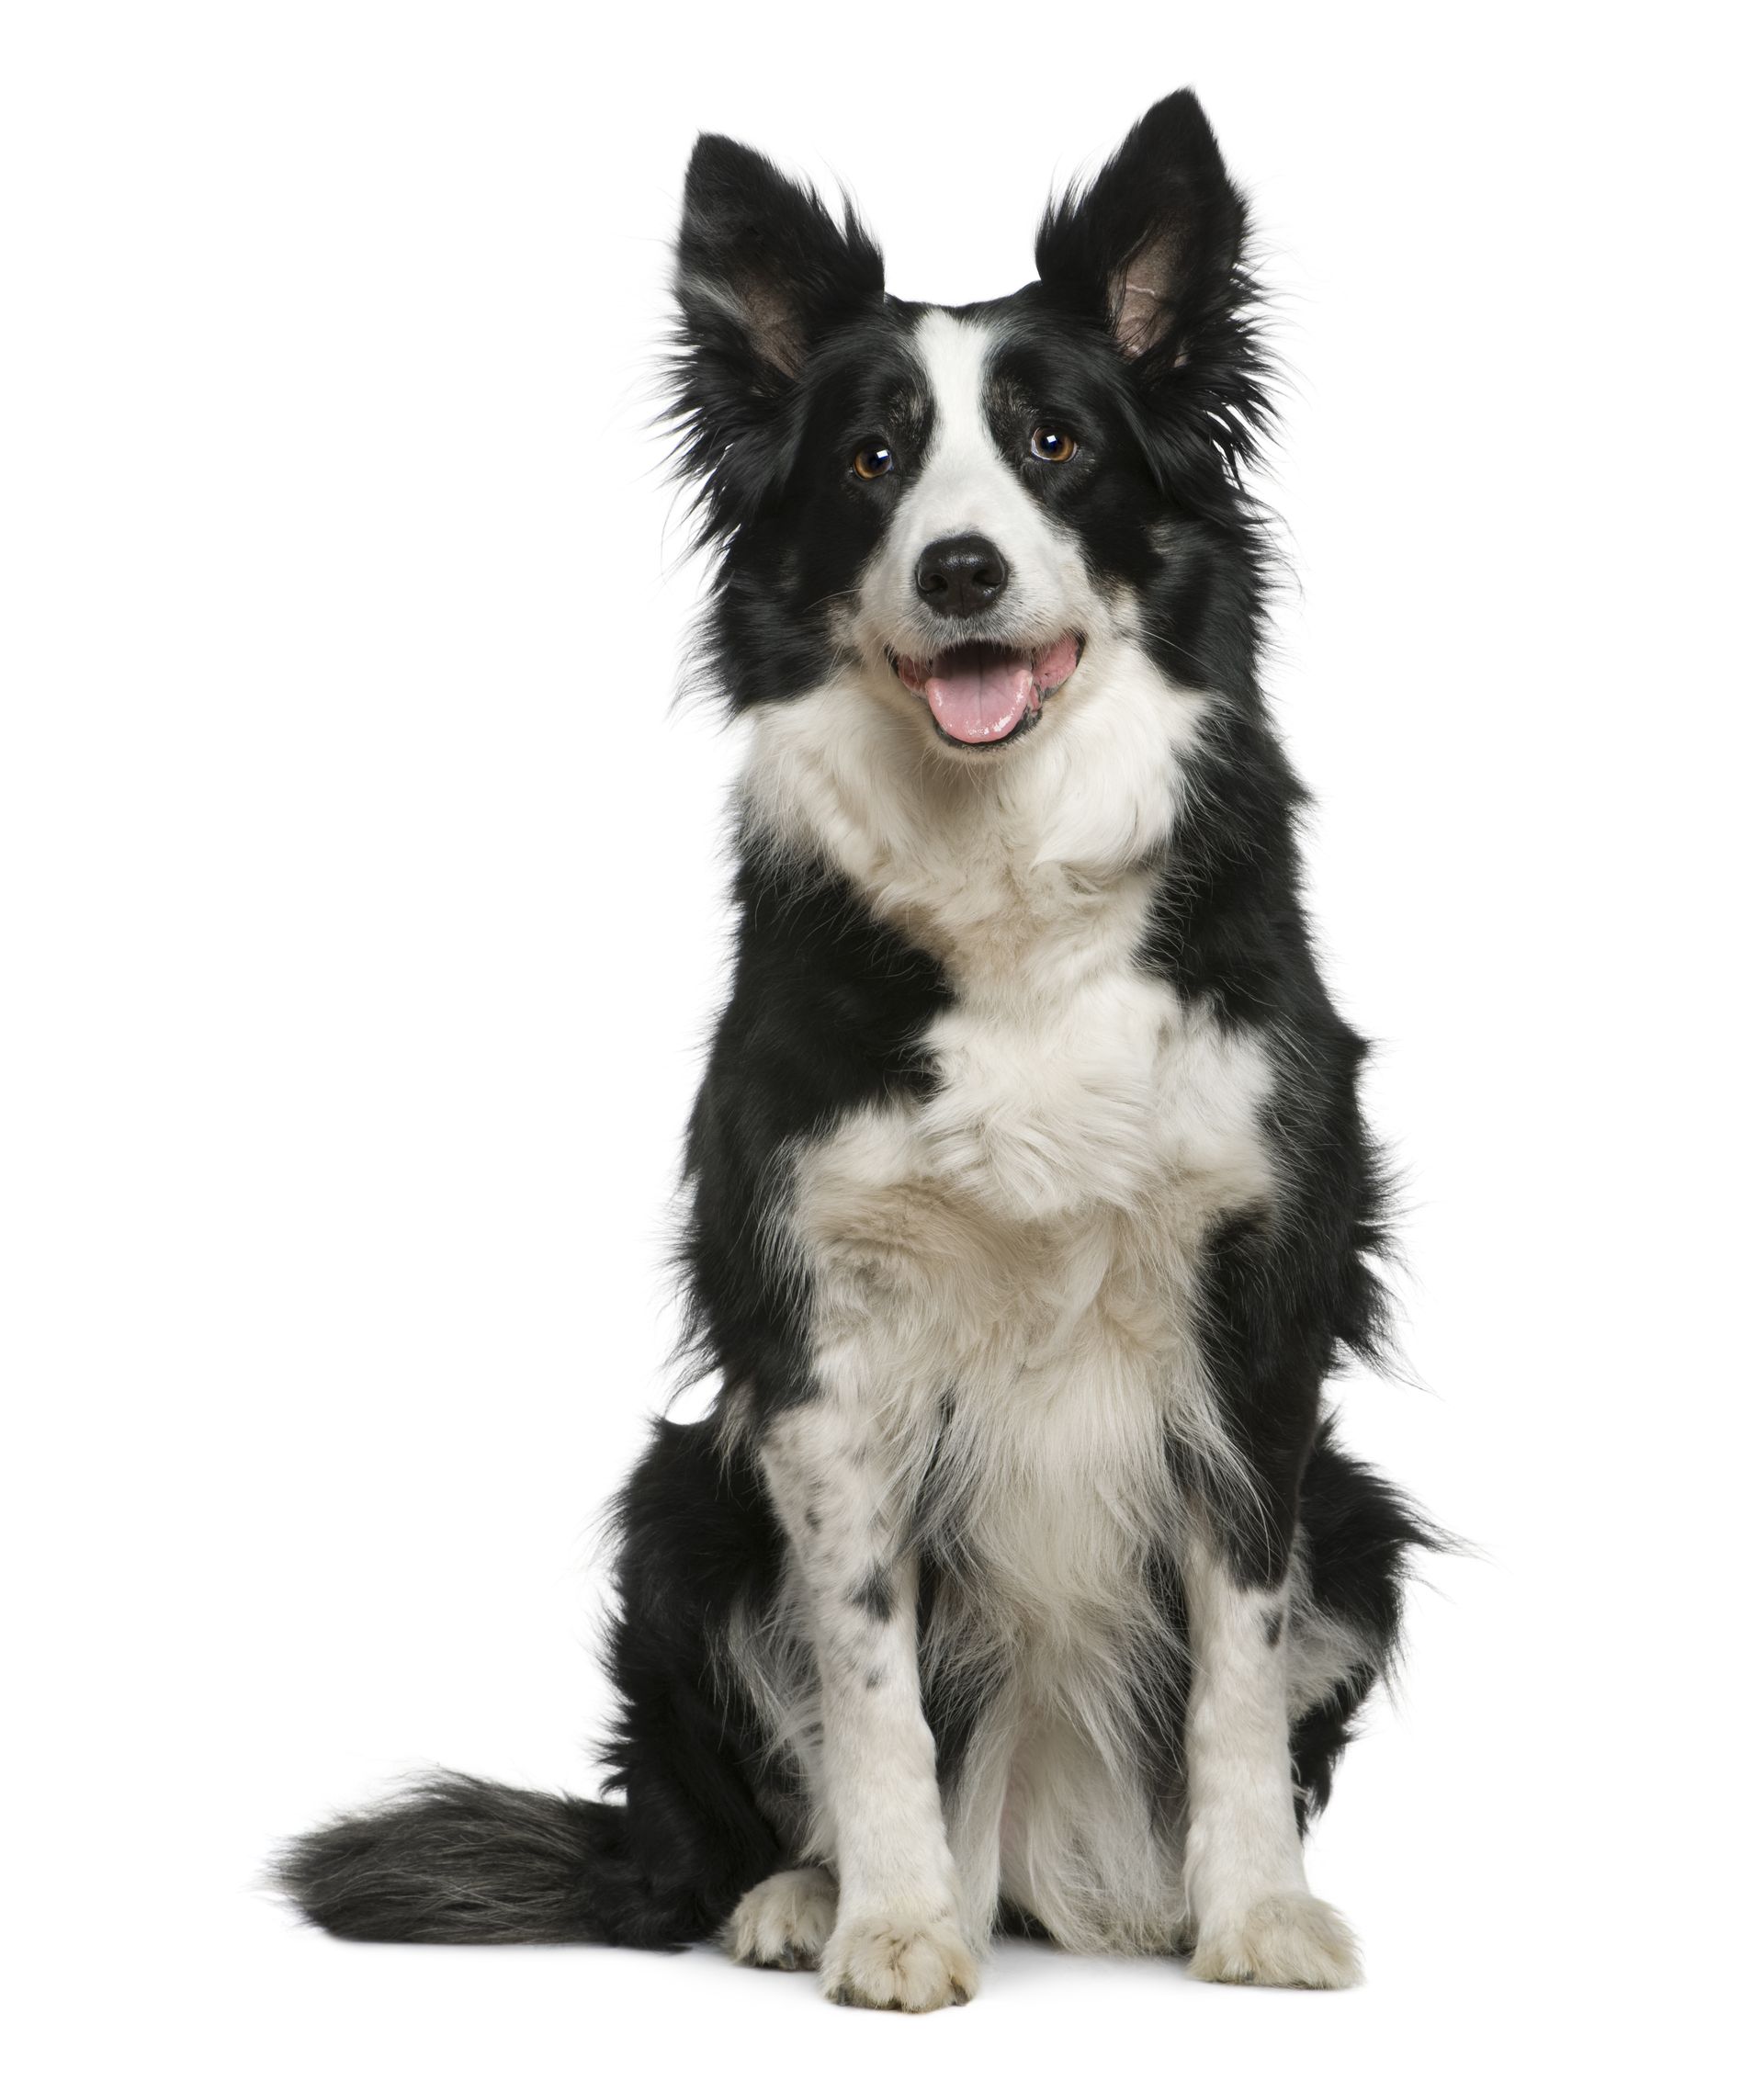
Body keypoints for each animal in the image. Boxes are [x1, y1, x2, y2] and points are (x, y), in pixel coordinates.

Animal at [278, 89, 1430, 2006]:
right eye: (875, 462)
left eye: (1054, 444)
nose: (961, 571)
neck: (1009, 883)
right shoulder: (816, 1340)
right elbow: (868, 1677)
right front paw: (892, 1921)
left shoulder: (1256, 1316)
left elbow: (1240, 1669)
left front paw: (1255, 1912)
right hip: (677, 1503)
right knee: (723, 1799)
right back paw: (797, 1893)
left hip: (1363, 1515)